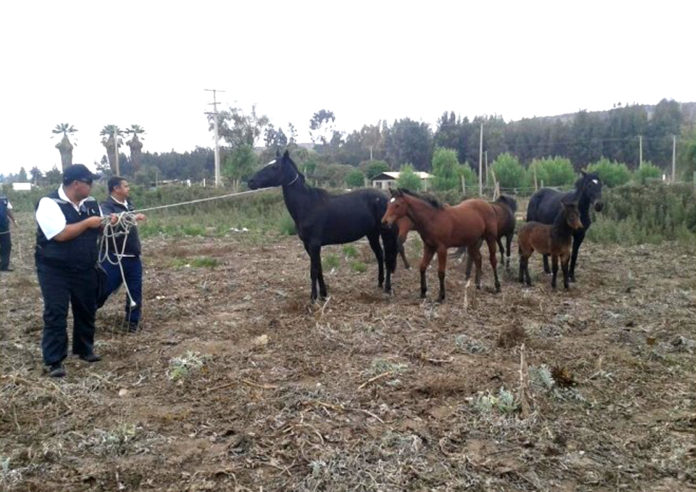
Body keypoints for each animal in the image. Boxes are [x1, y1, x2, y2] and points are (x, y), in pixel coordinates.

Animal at [247, 150, 396, 302]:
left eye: (275, 167)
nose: (251, 181)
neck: (307, 204)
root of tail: (387, 198)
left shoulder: (314, 244)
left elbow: (313, 271)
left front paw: (313, 298)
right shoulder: (308, 245)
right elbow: (319, 268)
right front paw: (323, 294)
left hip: (385, 233)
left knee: (387, 257)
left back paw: (387, 288)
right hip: (372, 234)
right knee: (380, 255)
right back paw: (379, 283)